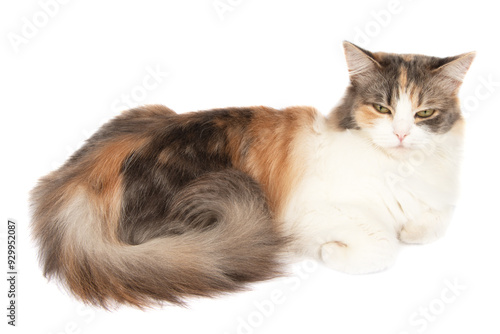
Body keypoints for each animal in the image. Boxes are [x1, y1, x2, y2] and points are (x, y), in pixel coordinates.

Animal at [29, 41, 474, 308]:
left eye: (424, 113)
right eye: (382, 108)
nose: (401, 134)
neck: (402, 170)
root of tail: (81, 175)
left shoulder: (439, 207)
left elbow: (429, 226)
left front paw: (411, 231)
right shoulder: (314, 214)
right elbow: (382, 245)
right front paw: (335, 252)